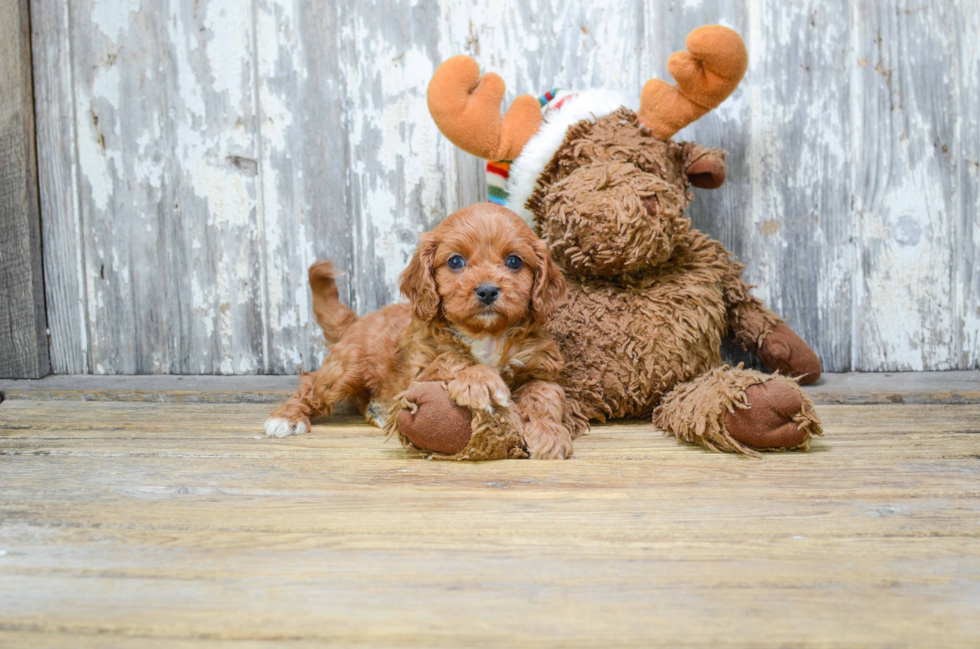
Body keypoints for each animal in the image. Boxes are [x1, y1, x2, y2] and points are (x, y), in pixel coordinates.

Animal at [264, 205, 580, 458]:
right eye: (455, 261)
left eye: (514, 261)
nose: (488, 290)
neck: (486, 334)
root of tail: (357, 321)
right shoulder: (419, 371)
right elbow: (452, 359)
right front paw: (481, 381)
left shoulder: (541, 369)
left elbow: (546, 395)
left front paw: (549, 435)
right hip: (346, 368)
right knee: (312, 386)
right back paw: (286, 418)